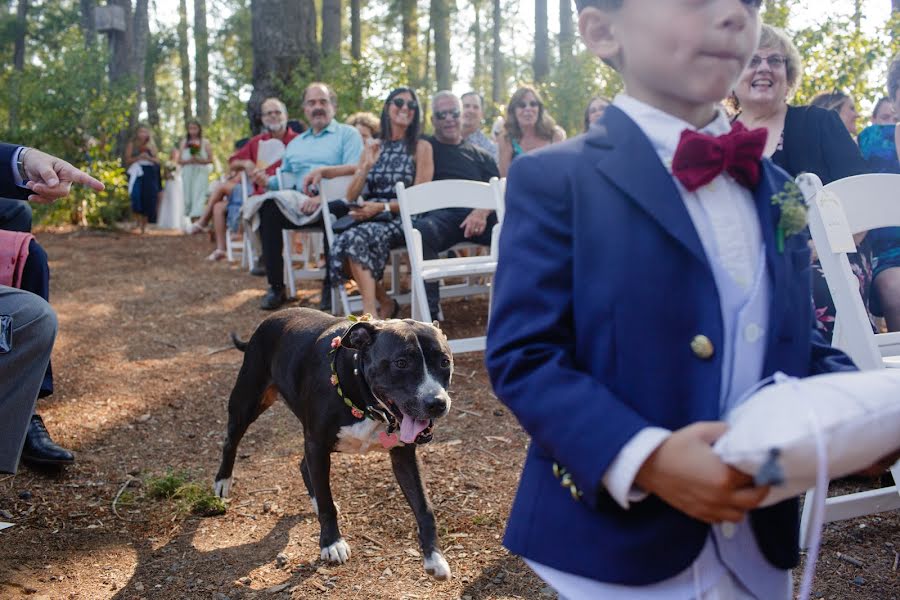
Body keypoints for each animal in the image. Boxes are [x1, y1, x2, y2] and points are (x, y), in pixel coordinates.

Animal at [214, 308, 454, 580]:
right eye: (401, 363)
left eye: (444, 362)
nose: (437, 403)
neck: (364, 396)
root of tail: (274, 316)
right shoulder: (317, 446)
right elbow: (327, 505)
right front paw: (331, 543)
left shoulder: (404, 455)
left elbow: (424, 507)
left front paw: (434, 557)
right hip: (246, 403)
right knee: (230, 441)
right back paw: (222, 482)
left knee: (303, 467)